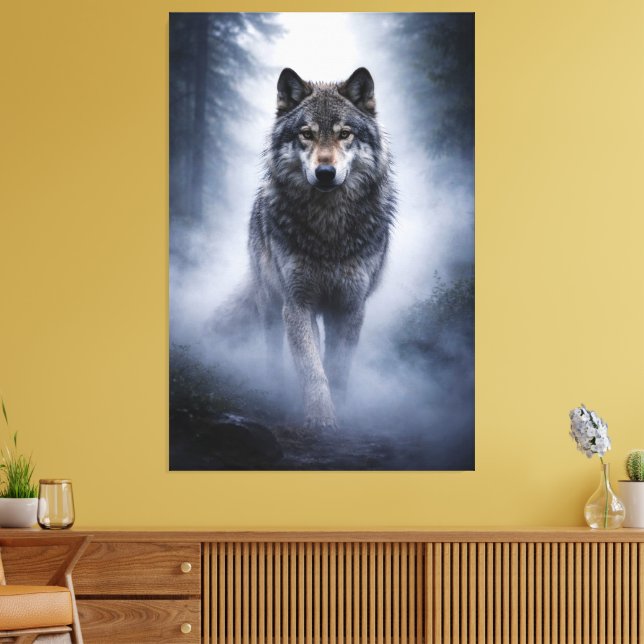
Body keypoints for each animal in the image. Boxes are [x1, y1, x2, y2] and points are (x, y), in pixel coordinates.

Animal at [248, 67, 396, 430]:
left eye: (344, 134)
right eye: (307, 134)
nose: (325, 172)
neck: (329, 230)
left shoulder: (350, 306)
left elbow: (338, 366)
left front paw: (340, 410)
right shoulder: (298, 304)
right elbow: (312, 367)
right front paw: (321, 417)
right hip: (269, 302)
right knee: (272, 349)